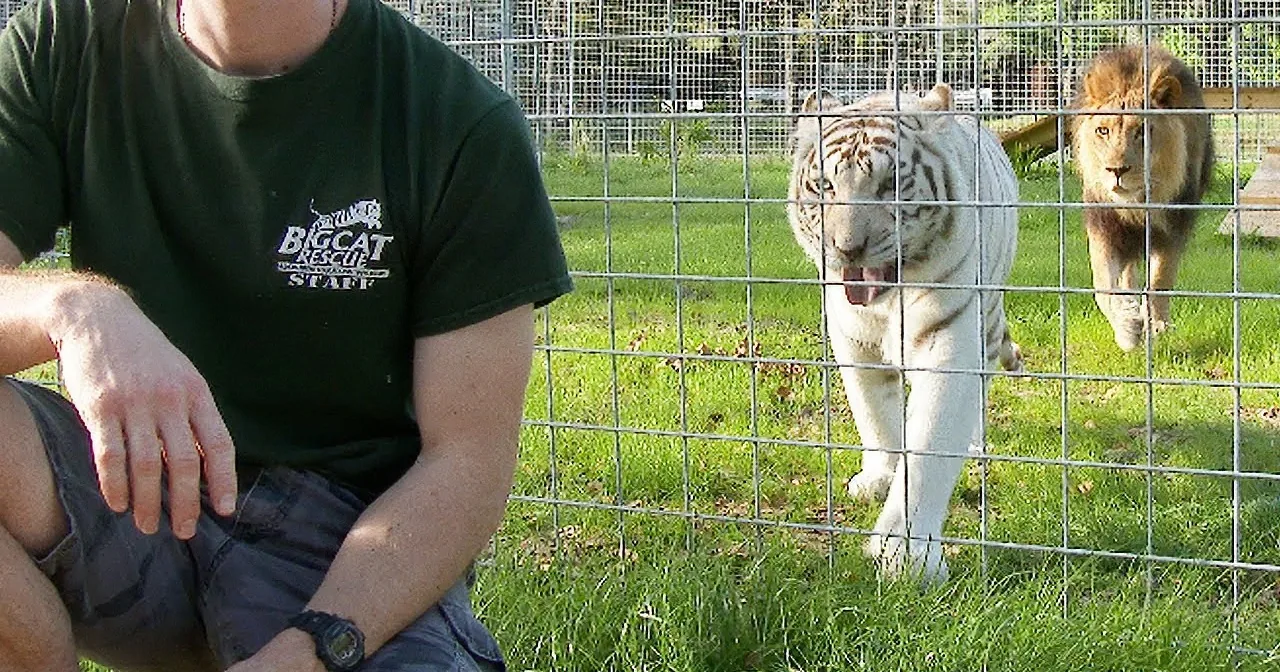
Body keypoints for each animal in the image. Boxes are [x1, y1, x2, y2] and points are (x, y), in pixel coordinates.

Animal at [1071, 45, 1215, 351]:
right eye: (1103, 131)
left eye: (1141, 132)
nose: (1116, 170)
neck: (1135, 203)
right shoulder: (1105, 227)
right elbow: (1104, 287)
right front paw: (1127, 327)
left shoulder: (1173, 225)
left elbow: (1160, 280)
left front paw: (1157, 326)